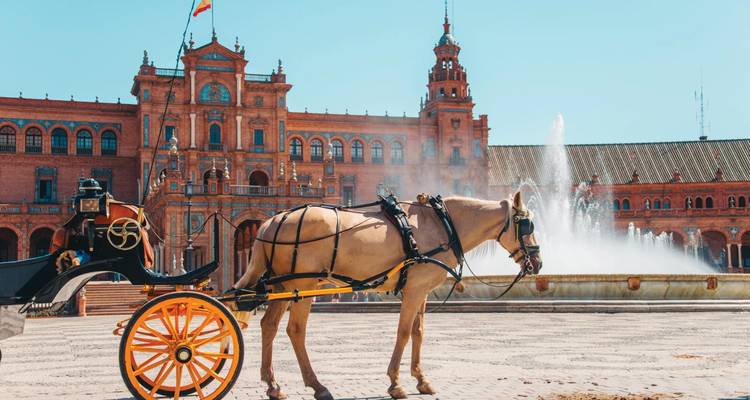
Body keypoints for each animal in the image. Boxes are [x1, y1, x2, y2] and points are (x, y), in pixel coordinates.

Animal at [233, 191, 542, 400]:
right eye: (526, 225)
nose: (538, 263)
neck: (441, 223)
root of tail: (273, 221)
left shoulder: (422, 290)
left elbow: (418, 332)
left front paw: (421, 379)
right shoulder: (414, 290)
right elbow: (404, 332)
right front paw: (395, 383)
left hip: (282, 288)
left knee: (269, 326)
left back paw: (273, 385)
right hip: (303, 286)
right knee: (295, 330)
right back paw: (317, 385)